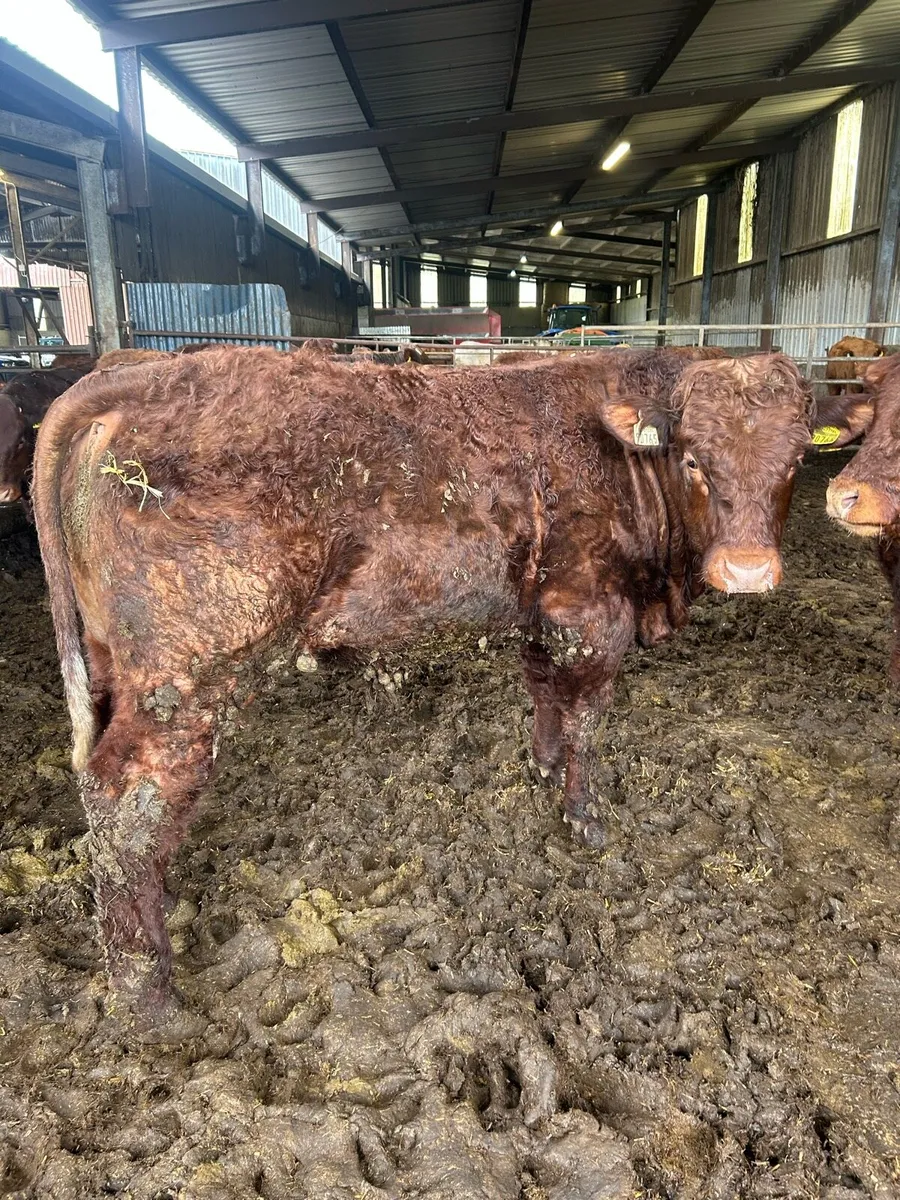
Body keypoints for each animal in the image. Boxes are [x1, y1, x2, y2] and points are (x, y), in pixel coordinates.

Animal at [34, 346, 828, 1009]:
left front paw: (542, 770)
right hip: (188, 676)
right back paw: (147, 991)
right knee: (128, 805)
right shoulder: (591, 618)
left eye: (794, 461)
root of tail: (146, 372)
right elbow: (586, 721)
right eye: (695, 460)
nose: (748, 569)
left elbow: (544, 695)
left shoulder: (543, 615)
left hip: (115, 669)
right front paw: (584, 816)